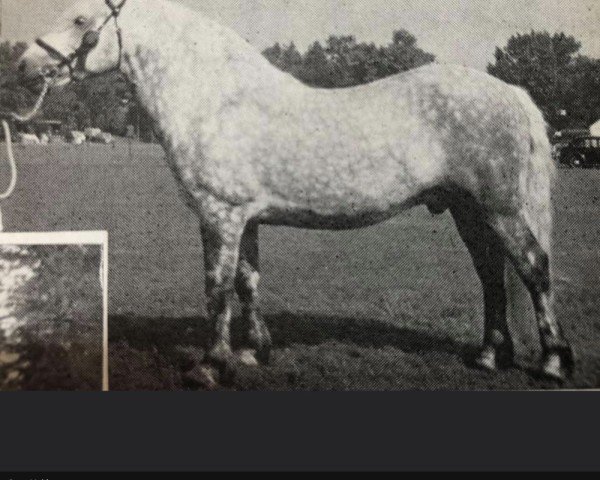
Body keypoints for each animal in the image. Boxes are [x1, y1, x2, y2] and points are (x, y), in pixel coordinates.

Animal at [16, 0, 576, 382]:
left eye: (80, 19)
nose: (22, 65)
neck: (216, 101)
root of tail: (510, 92)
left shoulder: (219, 215)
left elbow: (216, 288)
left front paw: (210, 365)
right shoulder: (245, 218)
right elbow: (248, 281)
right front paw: (252, 351)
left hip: (499, 209)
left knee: (532, 267)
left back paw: (552, 362)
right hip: (468, 211)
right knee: (491, 274)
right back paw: (488, 356)